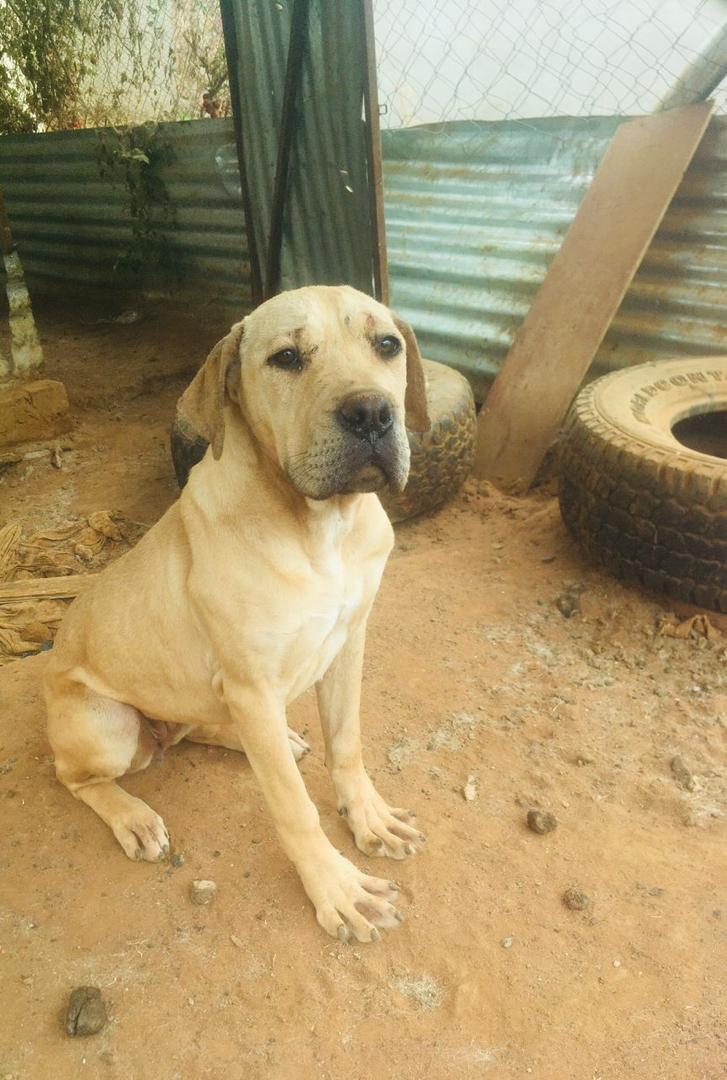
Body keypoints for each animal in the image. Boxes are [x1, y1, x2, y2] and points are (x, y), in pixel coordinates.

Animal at [42, 282, 427, 941]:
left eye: (386, 344)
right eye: (287, 358)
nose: (372, 413)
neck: (321, 527)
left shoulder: (347, 644)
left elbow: (347, 745)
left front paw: (368, 817)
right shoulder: (252, 685)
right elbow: (296, 807)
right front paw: (337, 887)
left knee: (196, 727)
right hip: (106, 725)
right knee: (77, 777)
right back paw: (132, 816)